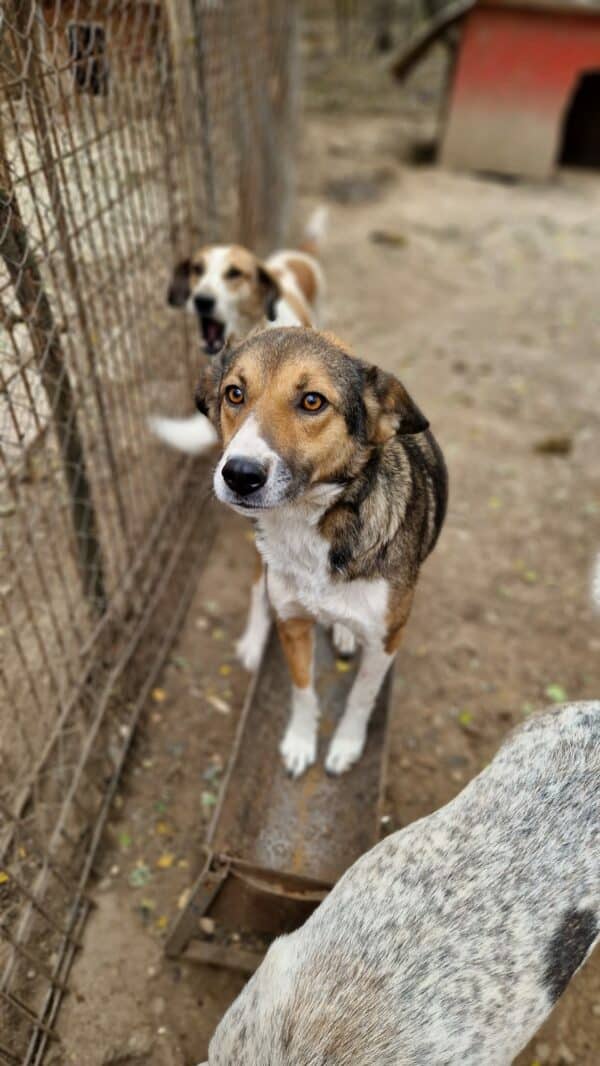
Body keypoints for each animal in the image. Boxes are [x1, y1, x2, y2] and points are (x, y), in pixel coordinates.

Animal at [195, 326, 447, 776]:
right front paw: (299, 741)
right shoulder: (293, 623)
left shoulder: (387, 638)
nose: (239, 474)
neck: (311, 526)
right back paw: (253, 641)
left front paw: (346, 745)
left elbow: (361, 697)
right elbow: (302, 689)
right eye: (234, 393)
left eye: (313, 401)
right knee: (258, 588)